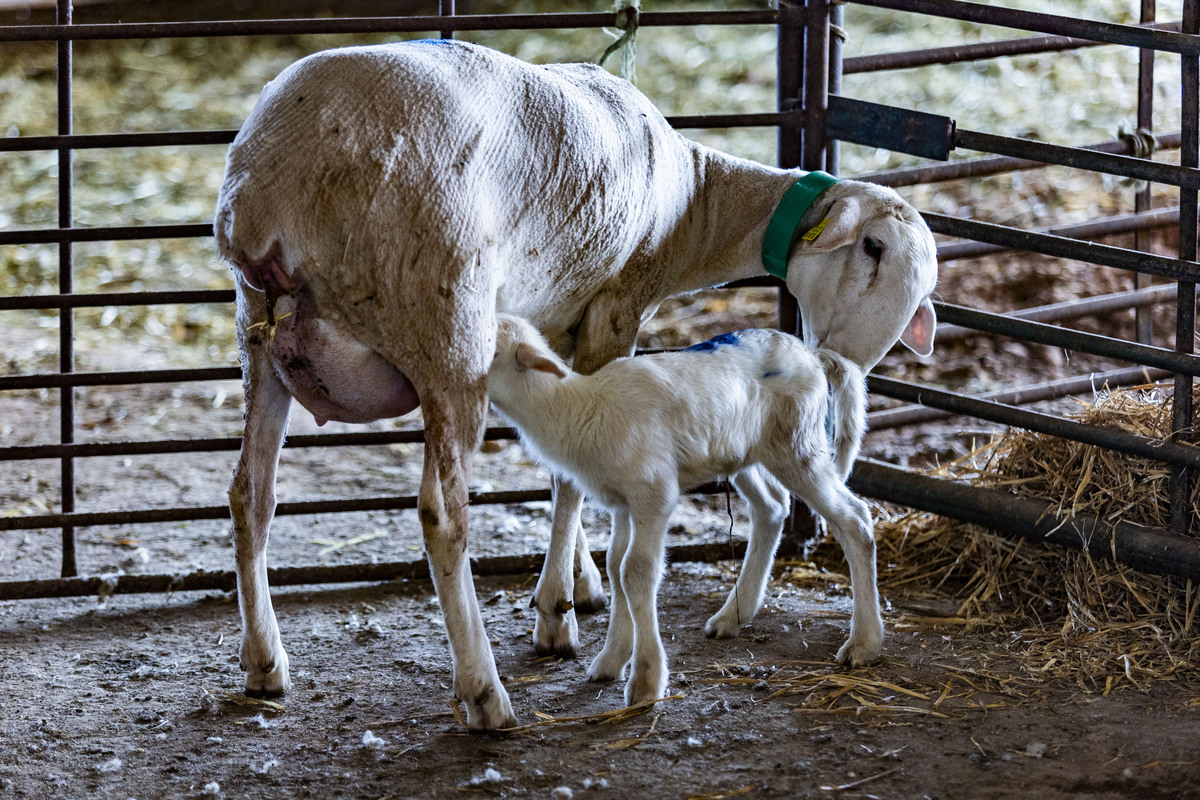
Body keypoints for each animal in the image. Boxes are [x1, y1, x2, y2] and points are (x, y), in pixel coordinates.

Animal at [487, 314, 883, 705]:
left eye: (489, 349)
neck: (580, 407)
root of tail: (812, 355)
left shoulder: (654, 492)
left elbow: (636, 571)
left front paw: (646, 680)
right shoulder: (622, 501)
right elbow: (615, 566)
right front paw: (612, 658)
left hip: (798, 445)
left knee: (855, 520)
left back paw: (864, 643)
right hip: (746, 452)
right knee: (771, 509)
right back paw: (732, 616)